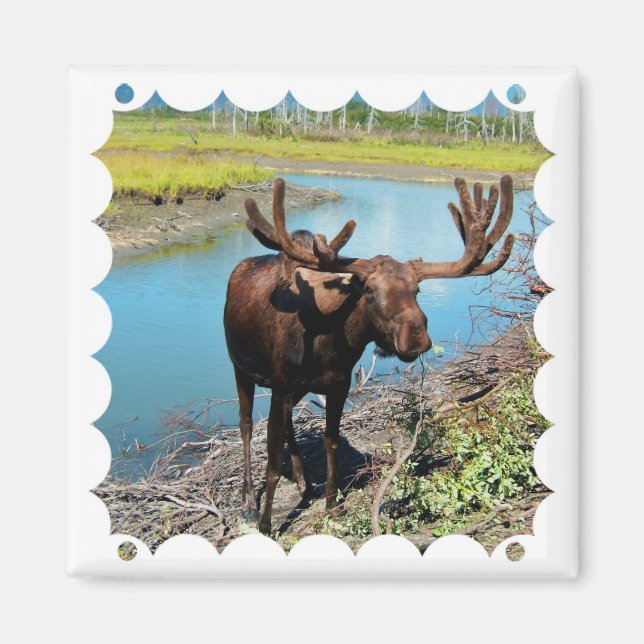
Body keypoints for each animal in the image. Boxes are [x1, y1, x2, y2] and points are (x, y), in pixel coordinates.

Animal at [224, 175, 514, 534]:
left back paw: (303, 480)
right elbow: (273, 461)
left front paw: (332, 504)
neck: (330, 342)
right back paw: (249, 503)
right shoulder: (281, 385)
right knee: (246, 425)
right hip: (241, 368)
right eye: (369, 289)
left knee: (288, 423)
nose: (416, 336)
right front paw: (266, 523)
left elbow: (331, 442)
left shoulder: (337, 384)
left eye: (417, 289)